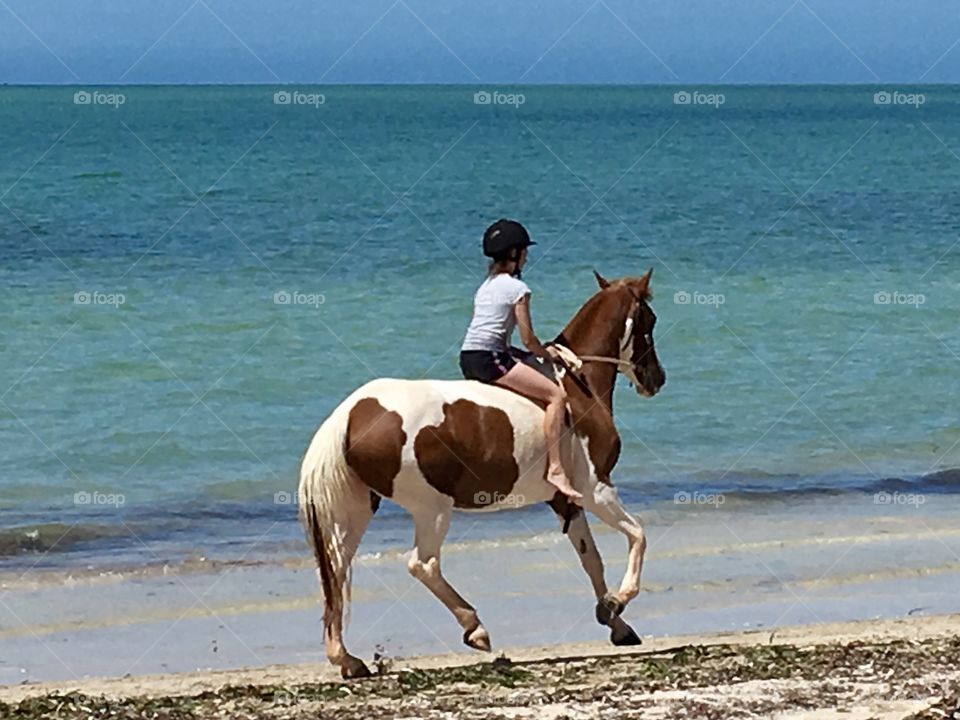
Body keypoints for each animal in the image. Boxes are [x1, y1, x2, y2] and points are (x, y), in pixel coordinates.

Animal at [300, 268, 668, 676]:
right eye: (650, 320)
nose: (657, 379)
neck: (578, 384)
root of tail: (350, 413)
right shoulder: (596, 489)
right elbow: (638, 536)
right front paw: (618, 602)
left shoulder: (566, 501)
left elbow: (592, 561)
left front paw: (616, 623)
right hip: (432, 508)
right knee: (422, 565)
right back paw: (475, 629)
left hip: (358, 507)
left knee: (335, 568)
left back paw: (346, 658)